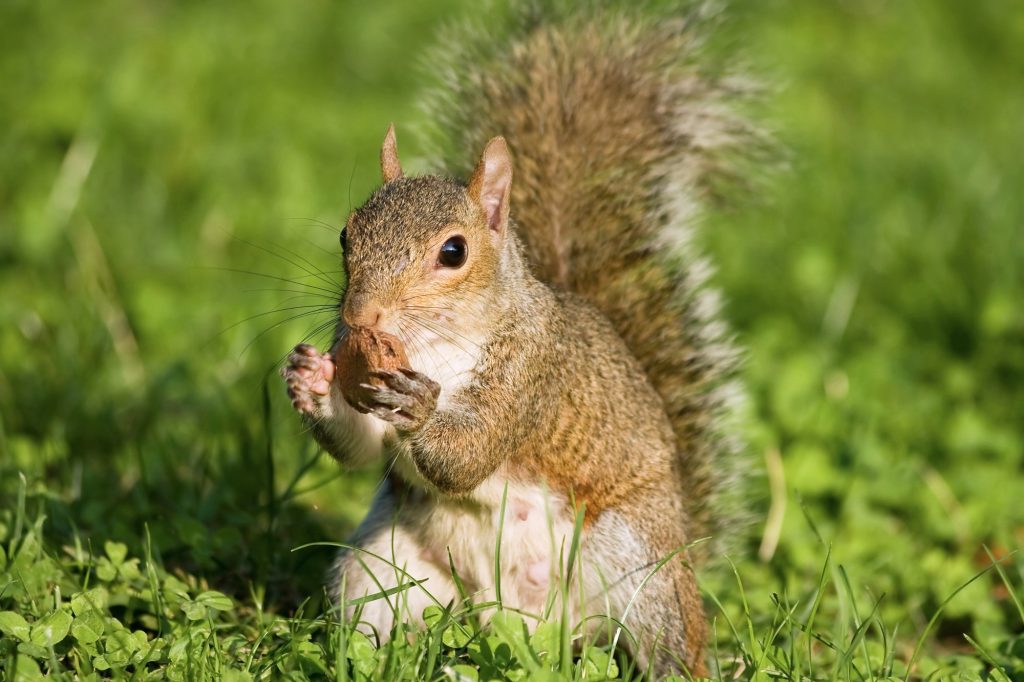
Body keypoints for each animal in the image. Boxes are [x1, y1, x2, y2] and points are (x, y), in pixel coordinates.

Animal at [280, 3, 753, 675]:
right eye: (347, 234)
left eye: (454, 252)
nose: (361, 316)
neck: (440, 343)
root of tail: (523, 621)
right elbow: (362, 447)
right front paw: (311, 378)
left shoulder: (532, 369)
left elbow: (469, 453)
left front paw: (420, 409)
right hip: (383, 567)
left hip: (638, 565)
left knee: (669, 640)